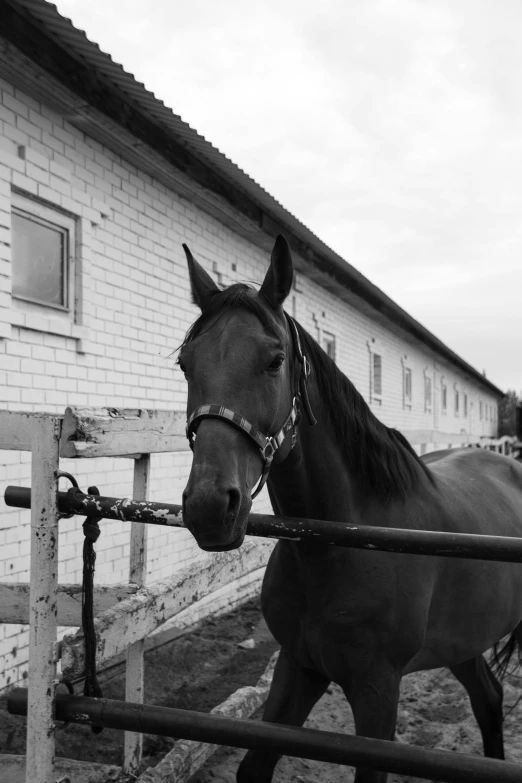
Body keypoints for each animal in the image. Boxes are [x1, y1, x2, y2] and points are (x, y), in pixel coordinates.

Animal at [178, 237, 520, 783]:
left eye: (275, 360)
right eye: (186, 364)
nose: (210, 507)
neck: (341, 544)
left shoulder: (378, 690)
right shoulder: (299, 667)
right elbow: (254, 765)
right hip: (462, 641)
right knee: (488, 699)